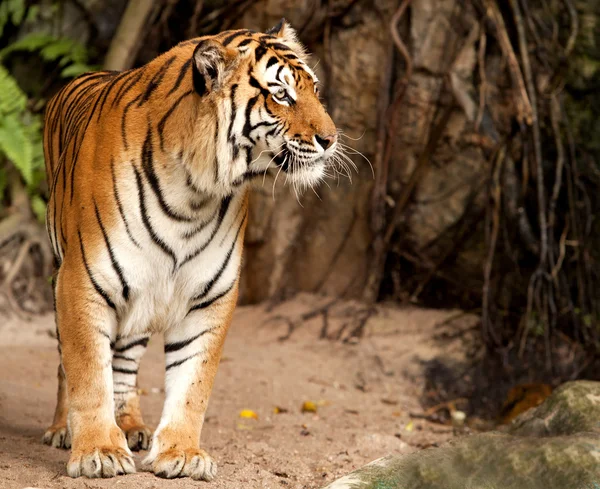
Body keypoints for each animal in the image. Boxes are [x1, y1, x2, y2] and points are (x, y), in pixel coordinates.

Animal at [43, 20, 338, 480]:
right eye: (281, 95)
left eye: (315, 89)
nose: (330, 139)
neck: (194, 193)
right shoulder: (82, 282)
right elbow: (88, 372)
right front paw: (99, 451)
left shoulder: (210, 294)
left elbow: (192, 381)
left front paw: (180, 453)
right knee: (70, 362)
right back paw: (64, 430)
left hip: (140, 295)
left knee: (124, 362)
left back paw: (131, 427)